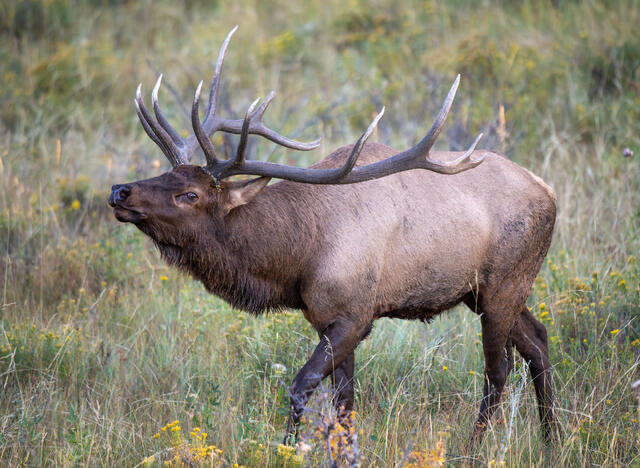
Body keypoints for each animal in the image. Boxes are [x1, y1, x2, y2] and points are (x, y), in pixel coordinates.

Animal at [108, 26, 557, 446]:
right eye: (169, 174)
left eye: (190, 194)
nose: (119, 191)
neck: (297, 259)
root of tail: (549, 193)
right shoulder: (325, 318)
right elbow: (345, 403)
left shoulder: (354, 315)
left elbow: (301, 386)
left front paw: (288, 448)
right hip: (480, 292)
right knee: (538, 341)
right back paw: (552, 438)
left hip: (503, 284)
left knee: (498, 369)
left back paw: (474, 447)